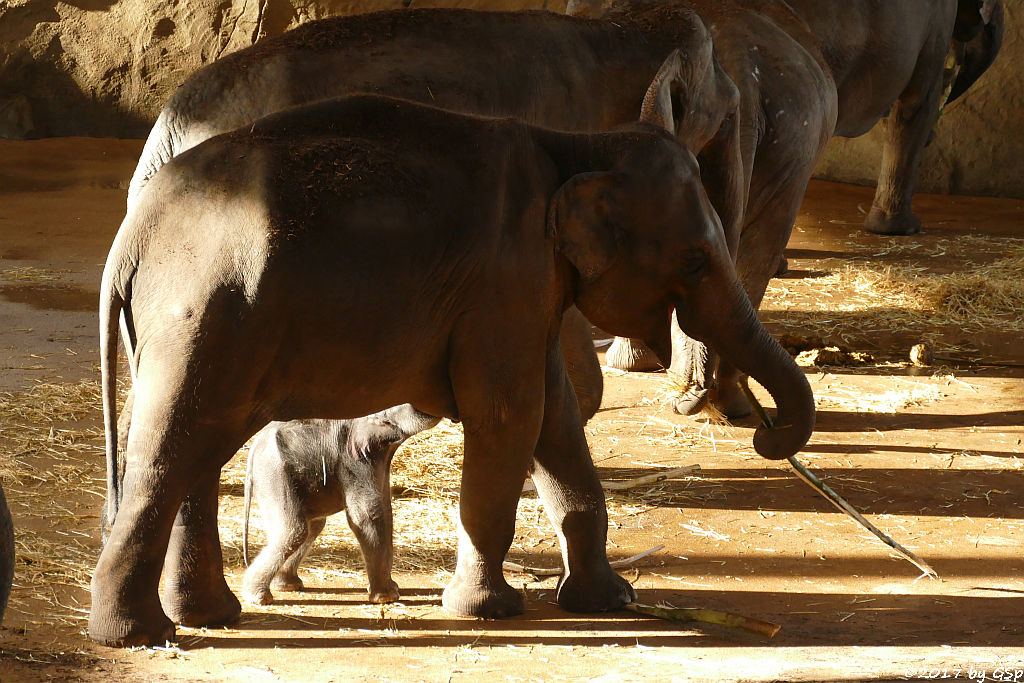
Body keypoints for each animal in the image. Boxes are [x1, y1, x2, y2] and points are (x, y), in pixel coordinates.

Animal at [243, 403, 440, 606]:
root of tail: (253, 450)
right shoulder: (354, 461)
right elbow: (367, 515)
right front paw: (385, 598)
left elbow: (386, 508)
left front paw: (391, 589)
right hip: (273, 474)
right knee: (294, 530)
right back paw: (259, 597)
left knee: (312, 525)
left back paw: (287, 585)